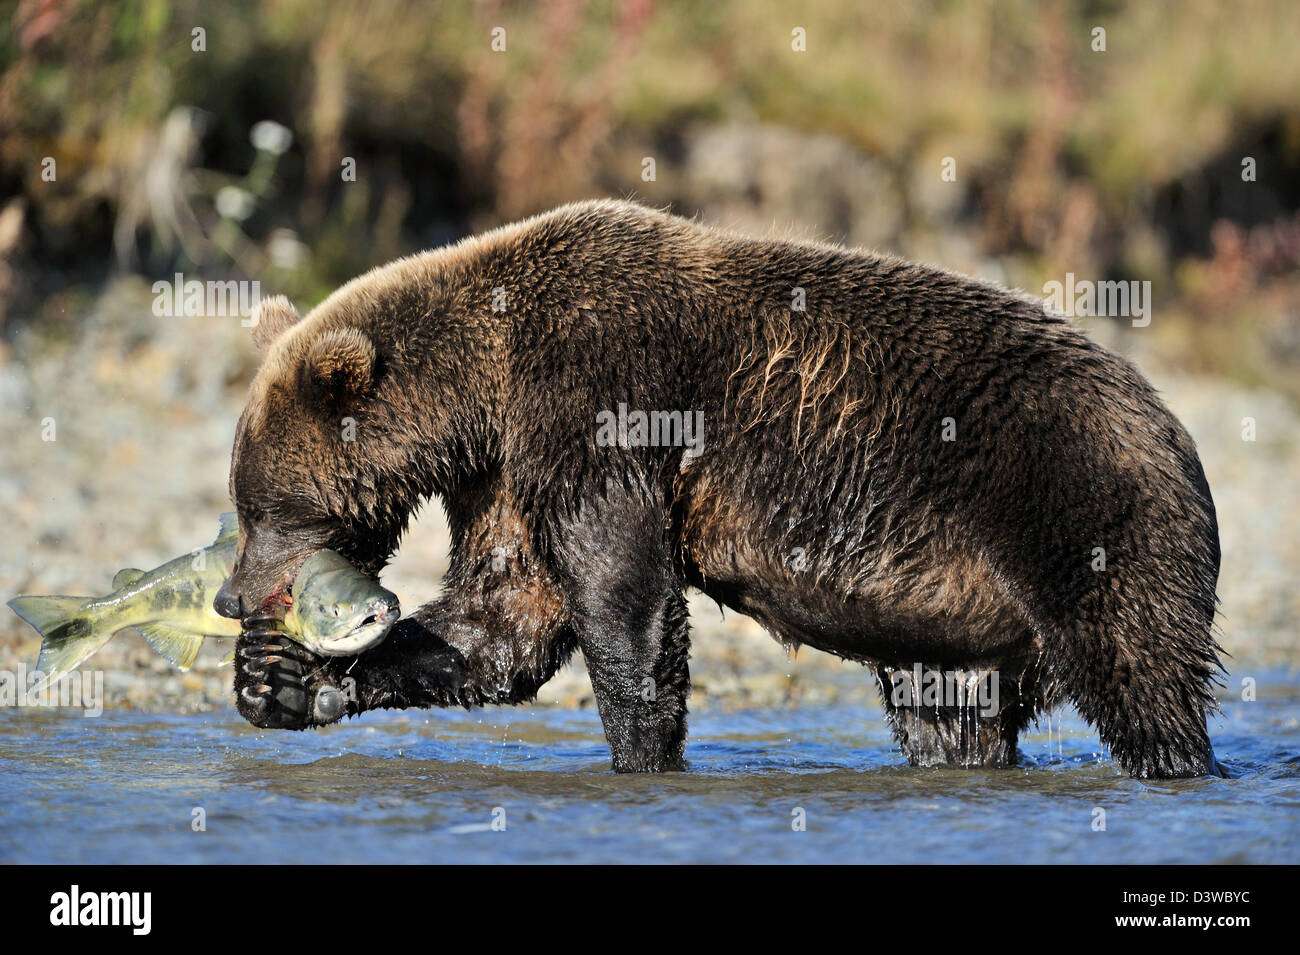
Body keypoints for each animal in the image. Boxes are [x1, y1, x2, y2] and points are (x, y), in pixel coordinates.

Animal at [215, 197, 1227, 779]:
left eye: (262, 506)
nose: (229, 597)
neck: (484, 388)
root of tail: (1177, 424)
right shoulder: (506, 468)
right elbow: (497, 621)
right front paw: (285, 679)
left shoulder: (599, 403)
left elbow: (620, 594)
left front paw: (642, 753)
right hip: (956, 623)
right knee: (951, 711)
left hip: (1082, 512)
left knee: (1140, 677)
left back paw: (1180, 765)